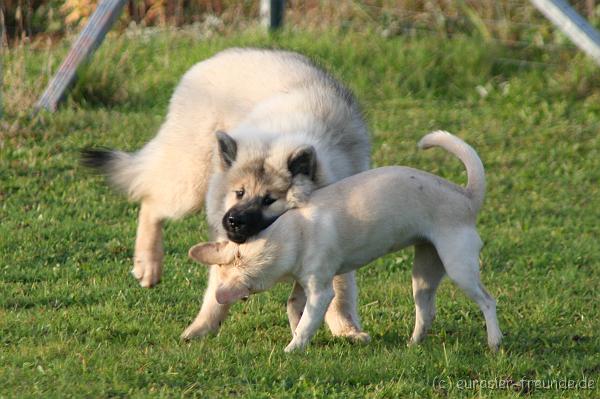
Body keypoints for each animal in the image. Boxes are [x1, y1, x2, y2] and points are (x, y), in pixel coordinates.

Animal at [79, 47, 370, 340]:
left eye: (269, 200)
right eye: (239, 192)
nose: (233, 221)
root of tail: (212, 59)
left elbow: (341, 286)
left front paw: (346, 328)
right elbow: (218, 287)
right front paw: (201, 328)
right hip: (191, 182)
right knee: (152, 202)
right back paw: (148, 265)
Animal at [186, 132, 502, 354]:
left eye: (268, 200)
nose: (233, 223)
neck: (292, 232)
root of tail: (467, 196)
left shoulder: (321, 291)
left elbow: (308, 320)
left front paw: (292, 348)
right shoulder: (303, 284)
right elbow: (294, 308)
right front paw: (297, 335)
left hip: (460, 267)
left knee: (488, 301)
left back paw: (495, 341)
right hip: (424, 271)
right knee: (426, 310)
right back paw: (414, 344)